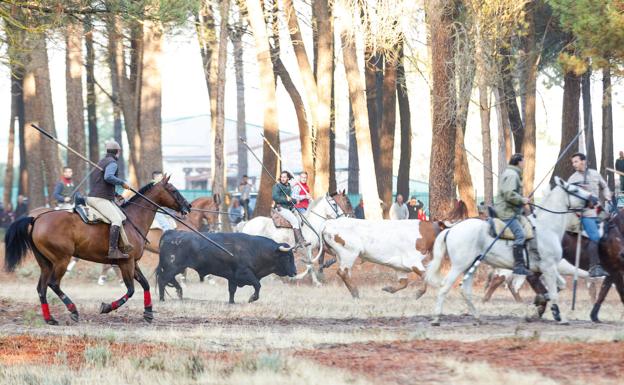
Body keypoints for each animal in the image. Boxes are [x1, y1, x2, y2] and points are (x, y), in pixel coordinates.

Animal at [4, 177, 190, 324]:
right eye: (173, 190)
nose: (188, 206)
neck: (134, 218)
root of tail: (36, 218)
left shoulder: (133, 263)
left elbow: (144, 284)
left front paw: (149, 313)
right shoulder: (126, 263)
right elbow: (130, 290)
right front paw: (107, 307)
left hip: (46, 263)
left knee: (41, 288)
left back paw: (50, 319)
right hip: (61, 260)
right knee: (53, 284)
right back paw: (73, 310)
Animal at [154, 231, 294, 304]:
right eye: (287, 257)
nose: (294, 272)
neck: (256, 249)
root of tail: (171, 232)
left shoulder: (232, 278)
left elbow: (232, 290)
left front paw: (232, 302)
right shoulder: (244, 273)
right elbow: (257, 285)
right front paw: (252, 298)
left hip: (174, 268)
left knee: (170, 280)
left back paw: (179, 293)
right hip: (172, 267)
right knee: (162, 280)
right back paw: (162, 299)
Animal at [426, 176, 592, 324]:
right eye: (575, 189)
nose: (593, 199)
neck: (546, 226)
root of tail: (451, 229)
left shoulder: (549, 268)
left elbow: (559, 286)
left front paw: (539, 306)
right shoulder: (548, 267)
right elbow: (553, 293)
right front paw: (559, 317)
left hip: (470, 266)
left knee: (466, 291)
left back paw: (478, 318)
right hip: (459, 266)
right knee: (444, 287)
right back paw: (436, 318)